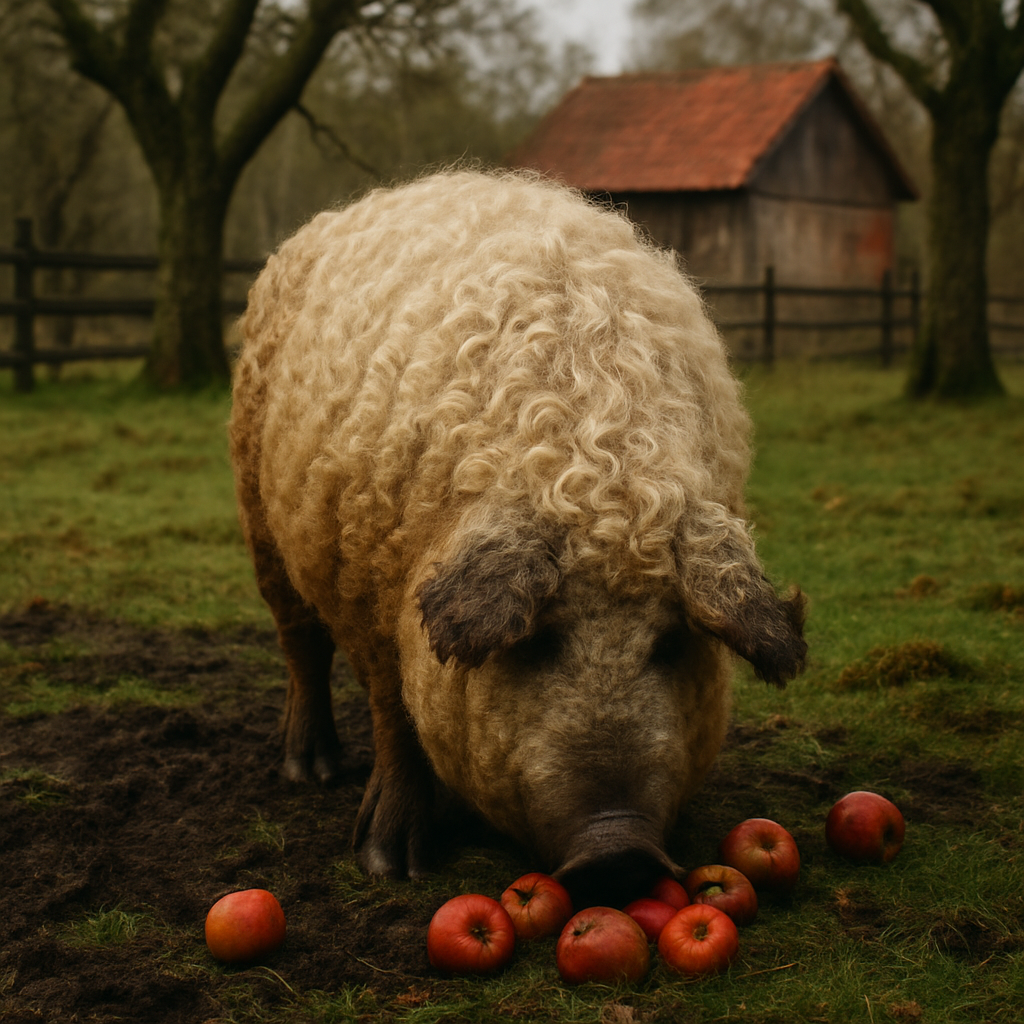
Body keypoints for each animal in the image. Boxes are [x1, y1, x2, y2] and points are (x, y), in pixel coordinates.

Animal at [228, 169, 806, 906]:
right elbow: (393, 714)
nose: (617, 850)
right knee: (299, 642)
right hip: (257, 507)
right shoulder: (362, 584)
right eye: (537, 641)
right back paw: (311, 770)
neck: (598, 469)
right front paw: (389, 865)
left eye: (671, 643)